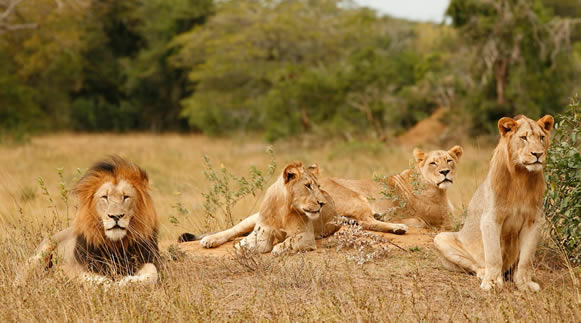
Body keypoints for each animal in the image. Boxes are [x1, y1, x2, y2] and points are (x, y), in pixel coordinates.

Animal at [16, 156, 161, 286]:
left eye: (126, 197)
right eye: (105, 197)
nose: (115, 216)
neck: (115, 245)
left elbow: (153, 272)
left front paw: (127, 281)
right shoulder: (75, 266)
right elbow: (85, 277)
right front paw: (108, 284)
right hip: (40, 255)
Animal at [179, 162, 338, 256]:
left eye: (318, 187)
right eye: (308, 186)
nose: (322, 203)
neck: (282, 209)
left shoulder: (307, 236)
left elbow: (290, 241)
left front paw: (279, 248)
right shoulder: (263, 234)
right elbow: (245, 243)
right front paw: (240, 248)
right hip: (252, 219)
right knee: (232, 231)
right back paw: (210, 239)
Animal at [320, 146, 464, 232]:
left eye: (449, 160)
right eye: (433, 163)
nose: (445, 171)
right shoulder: (445, 222)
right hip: (355, 198)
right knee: (366, 222)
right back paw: (398, 227)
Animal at [436, 115, 552, 292]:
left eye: (541, 137)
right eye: (524, 138)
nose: (538, 154)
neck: (522, 177)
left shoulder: (534, 221)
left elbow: (526, 259)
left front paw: (524, 283)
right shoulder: (491, 219)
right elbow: (493, 255)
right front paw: (491, 283)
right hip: (440, 238)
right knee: (475, 265)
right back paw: (483, 273)